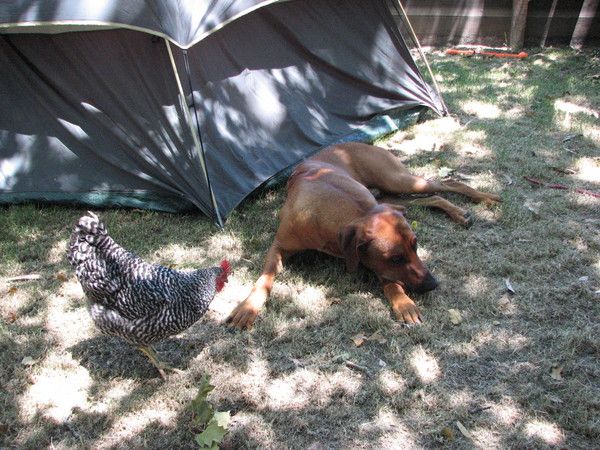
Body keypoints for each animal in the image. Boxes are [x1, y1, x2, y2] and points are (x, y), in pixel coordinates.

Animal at [227, 142, 501, 328]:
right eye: (396, 258)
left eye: (416, 246)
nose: (433, 284)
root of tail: (363, 144)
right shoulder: (279, 245)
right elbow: (264, 279)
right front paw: (248, 308)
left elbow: (389, 280)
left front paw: (402, 302)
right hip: (391, 196)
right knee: (433, 196)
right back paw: (459, 212)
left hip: (397, 180)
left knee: (448, 183)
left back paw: (483, 198)